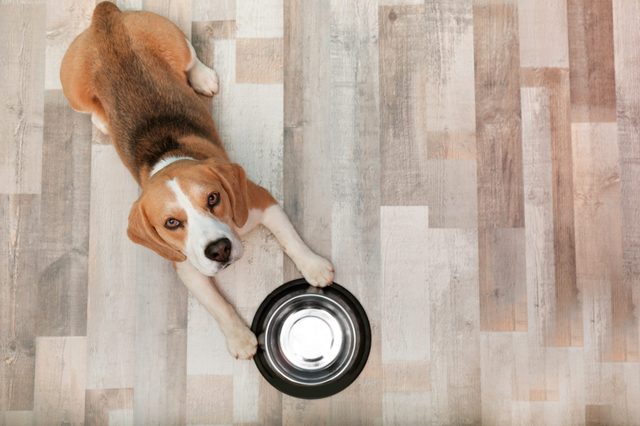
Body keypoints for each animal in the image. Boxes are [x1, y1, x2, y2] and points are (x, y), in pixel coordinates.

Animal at [61, 2, 336, 360]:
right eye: (172, 223)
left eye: (213, 198)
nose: (218, 250)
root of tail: (105, 17)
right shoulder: (187, 267)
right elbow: (217, 304)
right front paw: (238, 337)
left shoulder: (261, 202)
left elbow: (291, 239)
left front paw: (313, 266)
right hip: (74, 93)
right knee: (91, 110)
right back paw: (103, 121)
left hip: (172, 38)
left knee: (190, 57)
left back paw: (203, 77)